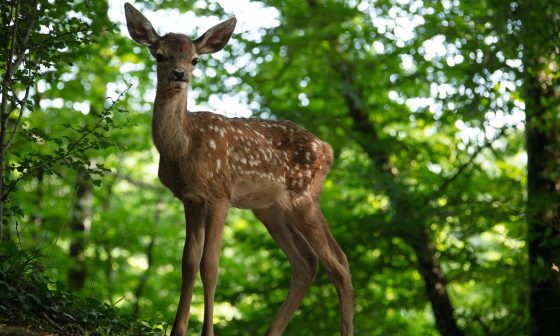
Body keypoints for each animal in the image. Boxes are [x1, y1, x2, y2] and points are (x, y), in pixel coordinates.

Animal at [124, 3, 352, 336]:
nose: (180, 74)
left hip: (303, 196)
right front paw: (177, 330)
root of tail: (328, 149)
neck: (184, 146)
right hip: (269, 209)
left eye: (195, 58)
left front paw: (207, 332)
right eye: (159, 55)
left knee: (338, 262)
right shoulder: (190, 198)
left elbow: (210, 265)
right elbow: (188, 263)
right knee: (306, 262)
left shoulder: (221, 194)